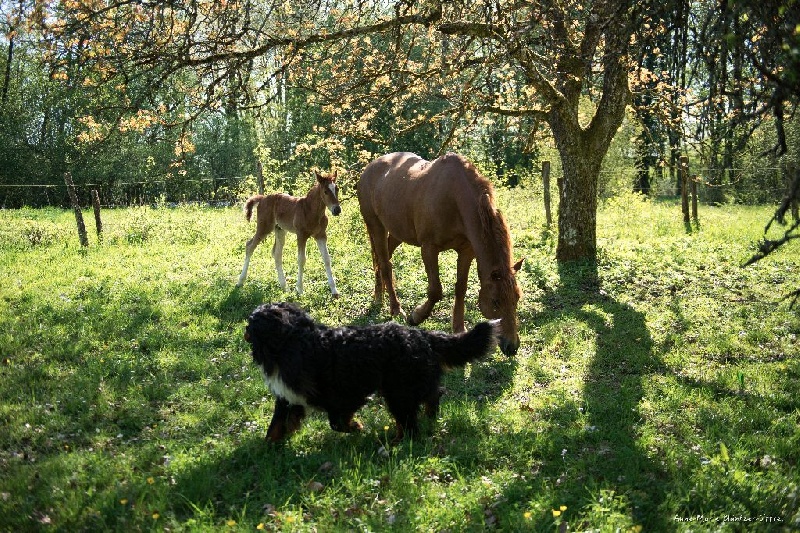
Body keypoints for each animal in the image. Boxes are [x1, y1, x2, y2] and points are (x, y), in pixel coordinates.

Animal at [244, 302, 500, 442]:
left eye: (251, 322)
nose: (244, 330)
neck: (290, 342)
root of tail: (422, 334)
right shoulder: (288, 398)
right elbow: (275, 427)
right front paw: (267, 450)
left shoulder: (343, 395)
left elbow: (338, 422)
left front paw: (356, 427)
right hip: (408, 385)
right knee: (433, 395)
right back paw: (426, 418)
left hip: (398, 392)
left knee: (409, 423)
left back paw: (397, 442)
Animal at [357, 152, 522, 356]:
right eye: (496, 302)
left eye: (517, 298)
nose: (512, 346)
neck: (455, 199)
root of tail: (369, 169)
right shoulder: (429, 248)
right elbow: (435, 290)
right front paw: (416, 317)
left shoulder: (466, 251)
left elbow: (461, 288)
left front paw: (459, 328)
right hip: (376, 226)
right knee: (385, 264)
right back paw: (396, 309)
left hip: (396, 232)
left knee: (381, 261)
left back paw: (378, 296)